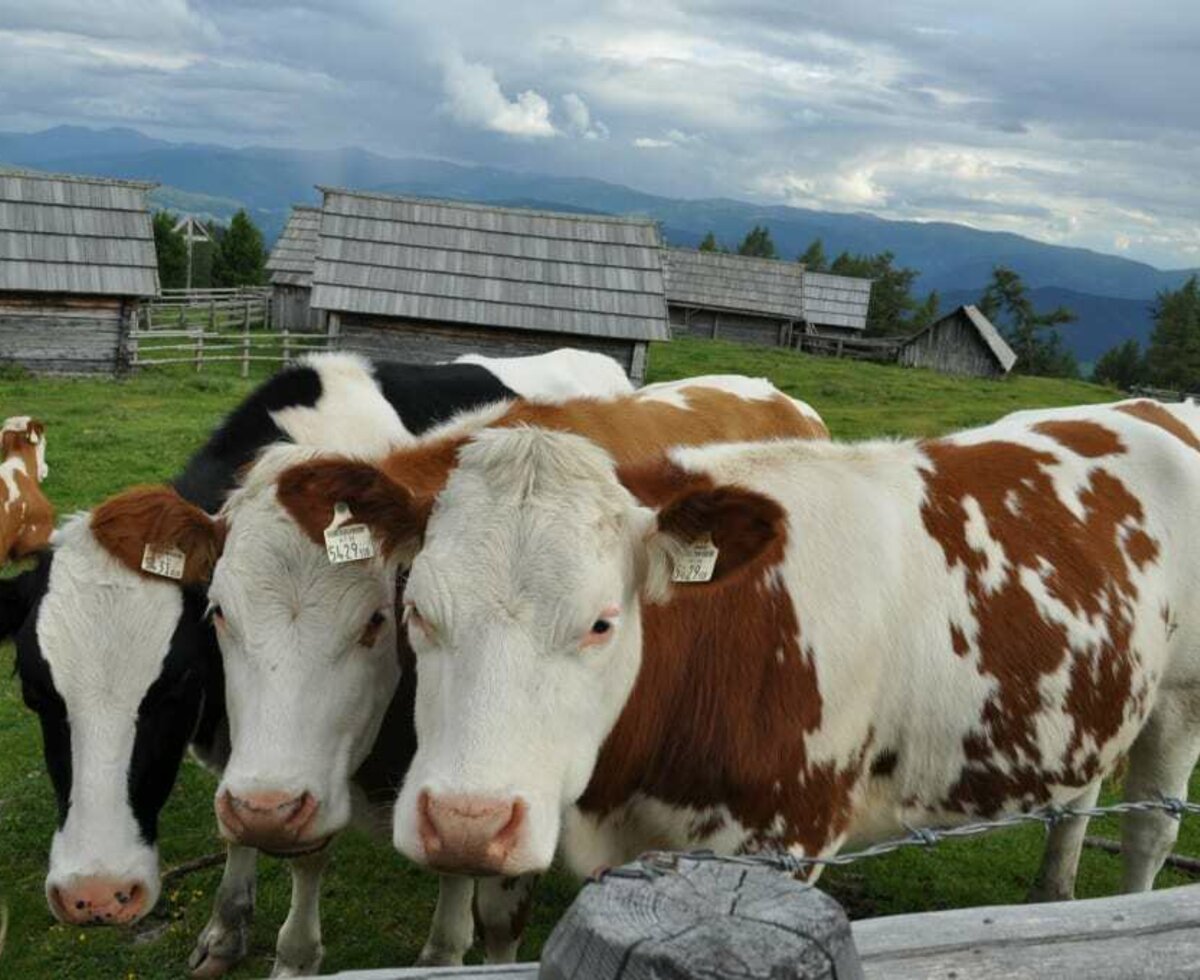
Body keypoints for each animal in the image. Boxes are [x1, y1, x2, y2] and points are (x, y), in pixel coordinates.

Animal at [285, 395, 1200, 892]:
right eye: (416, 611)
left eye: (602, 621)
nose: (467, 825)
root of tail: (1151, 406)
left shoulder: (783, 843)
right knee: (1078, 799)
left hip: (1181, 702)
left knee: (1151, 831)